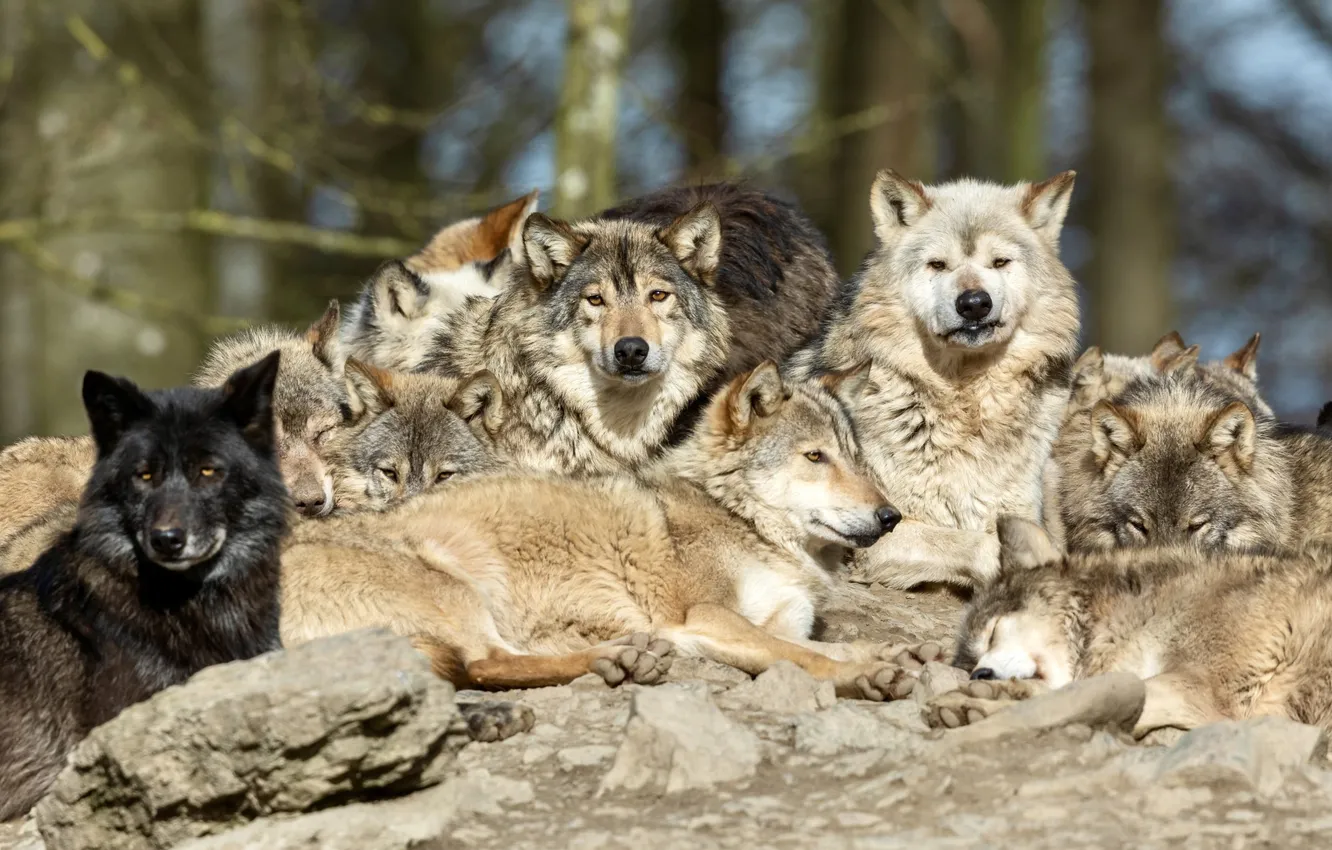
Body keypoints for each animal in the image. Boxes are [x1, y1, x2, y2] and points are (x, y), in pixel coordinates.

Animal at [788, 170, 1081, 589]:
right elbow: (976, 543)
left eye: (1000, 262)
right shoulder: (875, 530)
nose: (974, 303)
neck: (967, 404)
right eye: (938, 265)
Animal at [932, 516, 1332, 738]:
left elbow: (1069, 702)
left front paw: (980, 708)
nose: (980, 674)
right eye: (971, 662)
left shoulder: (1200, 692)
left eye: (993, 632)